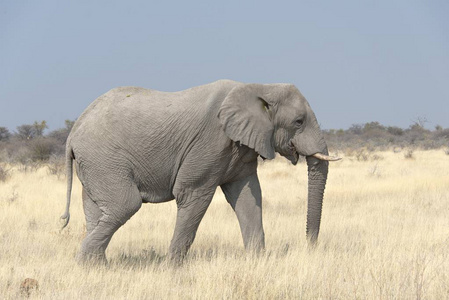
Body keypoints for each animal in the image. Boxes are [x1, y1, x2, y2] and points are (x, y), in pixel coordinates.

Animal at [60, 79, 340, 262]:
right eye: (298, 122)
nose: (310, 247)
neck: (259, 87)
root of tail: (73, 132)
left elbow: (247, 196)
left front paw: (258, 262)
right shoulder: (209, 142)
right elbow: (192, 195)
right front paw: (173, 268)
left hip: (95, 163)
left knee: (97, 209)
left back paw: (97, 266)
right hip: (104, 158)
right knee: (125, 204)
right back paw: (84, 264)